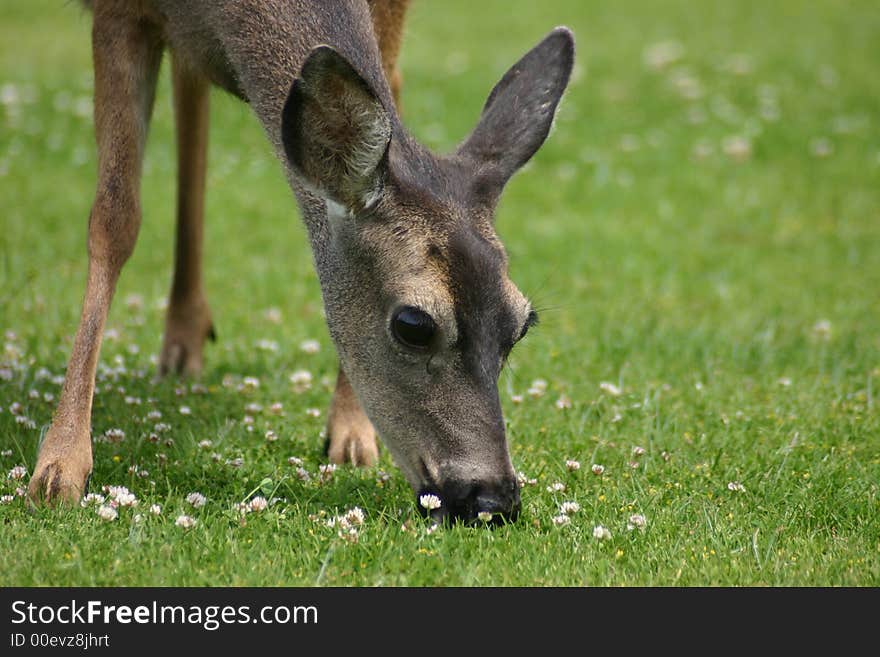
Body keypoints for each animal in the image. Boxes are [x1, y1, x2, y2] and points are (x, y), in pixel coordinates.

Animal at [27, 0, 576, 524]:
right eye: (413, 324)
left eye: (522, 324)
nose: (493, 499)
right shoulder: (118, 12)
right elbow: (114, 218)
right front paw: (60, 466)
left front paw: (351, 432)